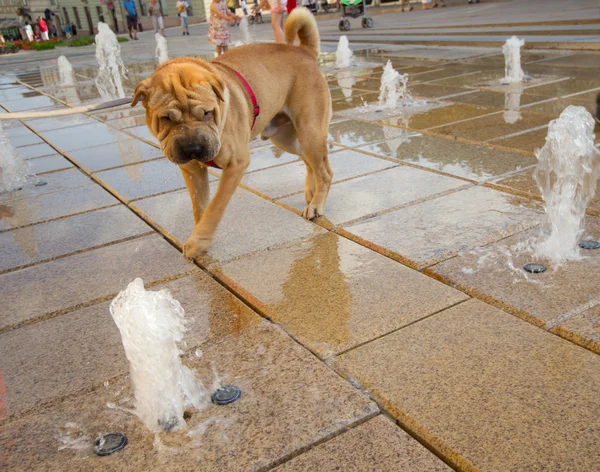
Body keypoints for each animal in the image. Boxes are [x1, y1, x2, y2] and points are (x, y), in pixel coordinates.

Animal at [131, 8, 332, 258]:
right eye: (166, 119)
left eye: (207, 113)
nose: (192, 148)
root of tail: (304, 51)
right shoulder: (192, 170)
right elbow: (199, 206)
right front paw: (199, 236)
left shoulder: (236, 163)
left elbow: (215, 206)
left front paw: (200, 241)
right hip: (285, 137)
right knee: (309, 161)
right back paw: (311, 191)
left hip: (309, 131)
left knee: (325, 170)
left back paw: (316, 204)